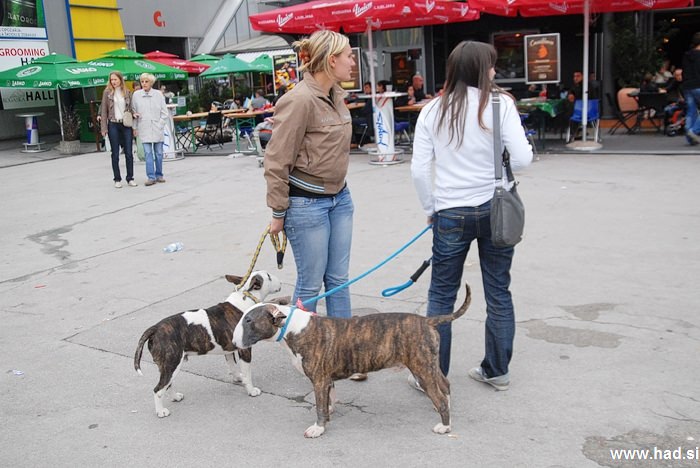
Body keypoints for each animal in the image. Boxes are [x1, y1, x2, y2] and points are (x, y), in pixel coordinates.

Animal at [134, 270, 287, 417]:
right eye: (268, 276)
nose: (280, 281)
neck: (246, 298)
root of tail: (155, 328)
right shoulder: (245, 349)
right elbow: (247, 373)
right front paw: (251, 390)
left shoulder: (228, 350)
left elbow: (233, 366)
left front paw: (238, 378)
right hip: (171, 363)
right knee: (158, 389)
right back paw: (161, 412)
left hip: (168, 366)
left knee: (168, 384)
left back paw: (175, 397)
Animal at [233, 283, 471, 438]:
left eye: (249, 320)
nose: (234, 341)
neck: (292, 327)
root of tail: (427, 321)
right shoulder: (326, 379)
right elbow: (329, 399)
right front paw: (329, 414)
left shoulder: (319, 379)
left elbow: (319, 405)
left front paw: (318, 428)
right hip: (430, 364)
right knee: (445, 385)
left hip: (421, 368)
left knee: (439, 395)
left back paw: (445, 426)